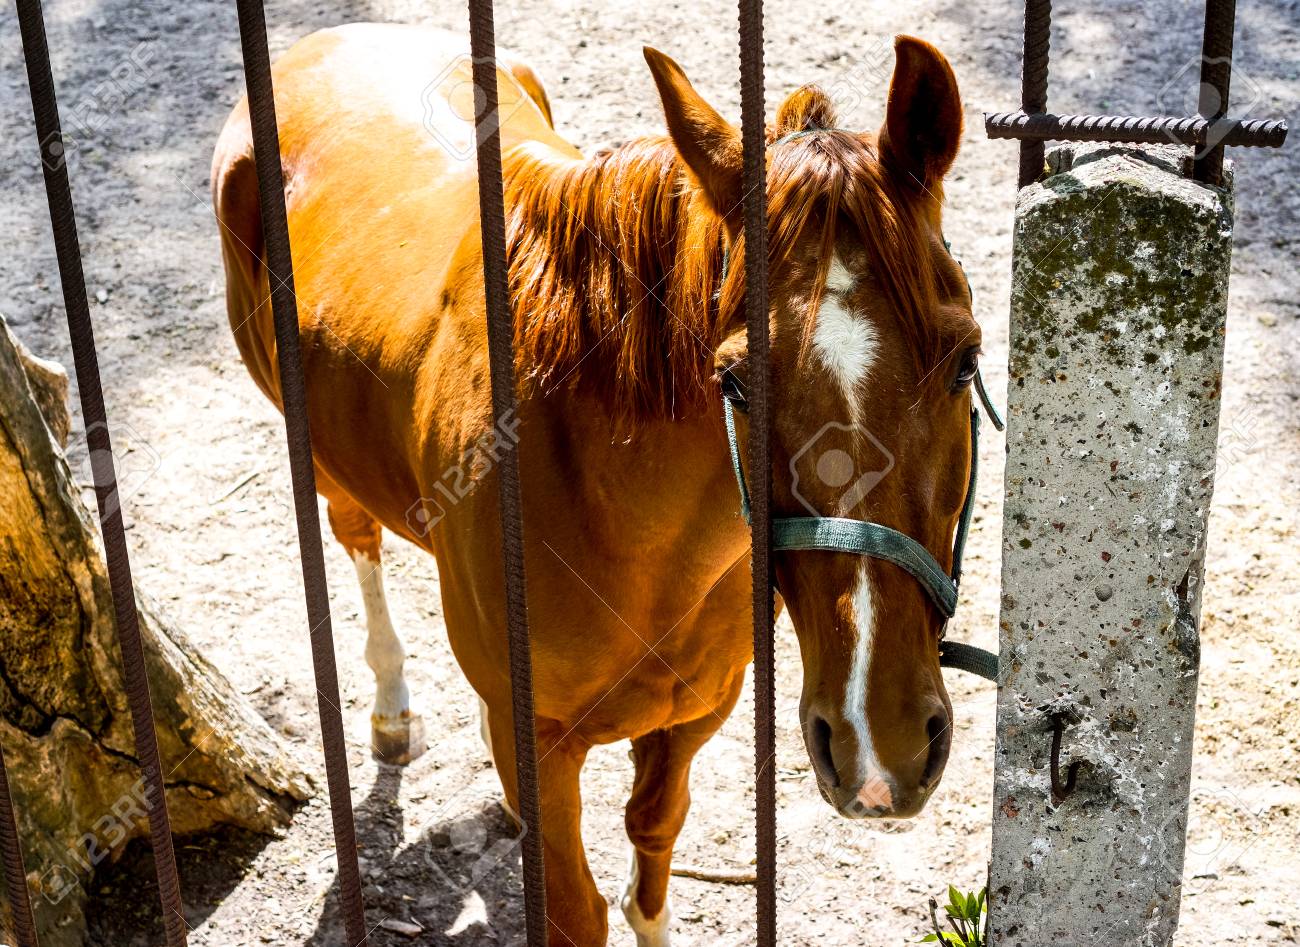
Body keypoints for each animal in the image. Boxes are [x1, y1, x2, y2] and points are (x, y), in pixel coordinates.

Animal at [213, 22, 979, 945]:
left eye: (965, 359)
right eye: (733, 381)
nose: (880, 742)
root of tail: (331, 38)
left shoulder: (694, 714)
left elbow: (654, 833)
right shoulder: (544, 747)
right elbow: (576, 910)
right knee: (356, 534)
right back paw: (393, 706)